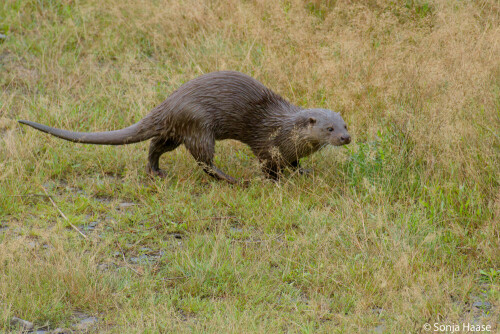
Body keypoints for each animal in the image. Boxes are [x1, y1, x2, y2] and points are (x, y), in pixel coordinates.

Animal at [18, 71, 352, 184]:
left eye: (345, 124)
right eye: (329, 129)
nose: (346, 138)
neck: (284, 129)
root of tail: (169, 103)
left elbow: (294, 163)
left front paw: (302, 171)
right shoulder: (266, 145)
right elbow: (269, 165)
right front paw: (276, 181)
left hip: (177, 131)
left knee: (155, 146)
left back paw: (155, 171)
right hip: (198, 125)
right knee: (205, 161)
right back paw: (234, 180)